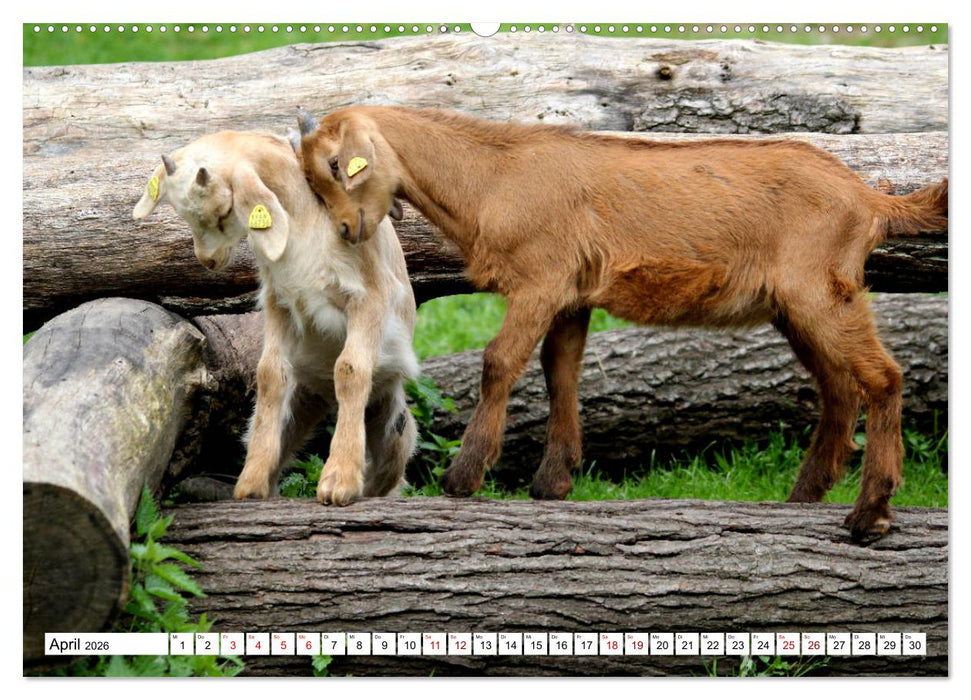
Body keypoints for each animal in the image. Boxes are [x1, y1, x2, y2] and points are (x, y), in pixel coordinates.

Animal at [133, 130, 418, 505]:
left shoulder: (369, 297)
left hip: (394, 430)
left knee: (388, 474)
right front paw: (250, 481)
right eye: (183, 214)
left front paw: (339, 481)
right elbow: (269, 373)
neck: (304, 222)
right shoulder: (278, 301)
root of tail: (323, 394)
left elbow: (351, 369)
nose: (209, 261)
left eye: (226, 210)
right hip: (302, 402)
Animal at [295, 106, 948, 541]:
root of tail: (871, 201)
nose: (349, 230)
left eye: (338, 164)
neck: (493, 177)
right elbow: (561, 374)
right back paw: (802, 498)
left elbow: (499, 363)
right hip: (801, 306)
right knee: (840, 389)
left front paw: (465, 476)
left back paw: (870, 513)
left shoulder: (541, 279)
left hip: (820, 291)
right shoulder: (572, 295)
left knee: (883, 378)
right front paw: (552, 483)